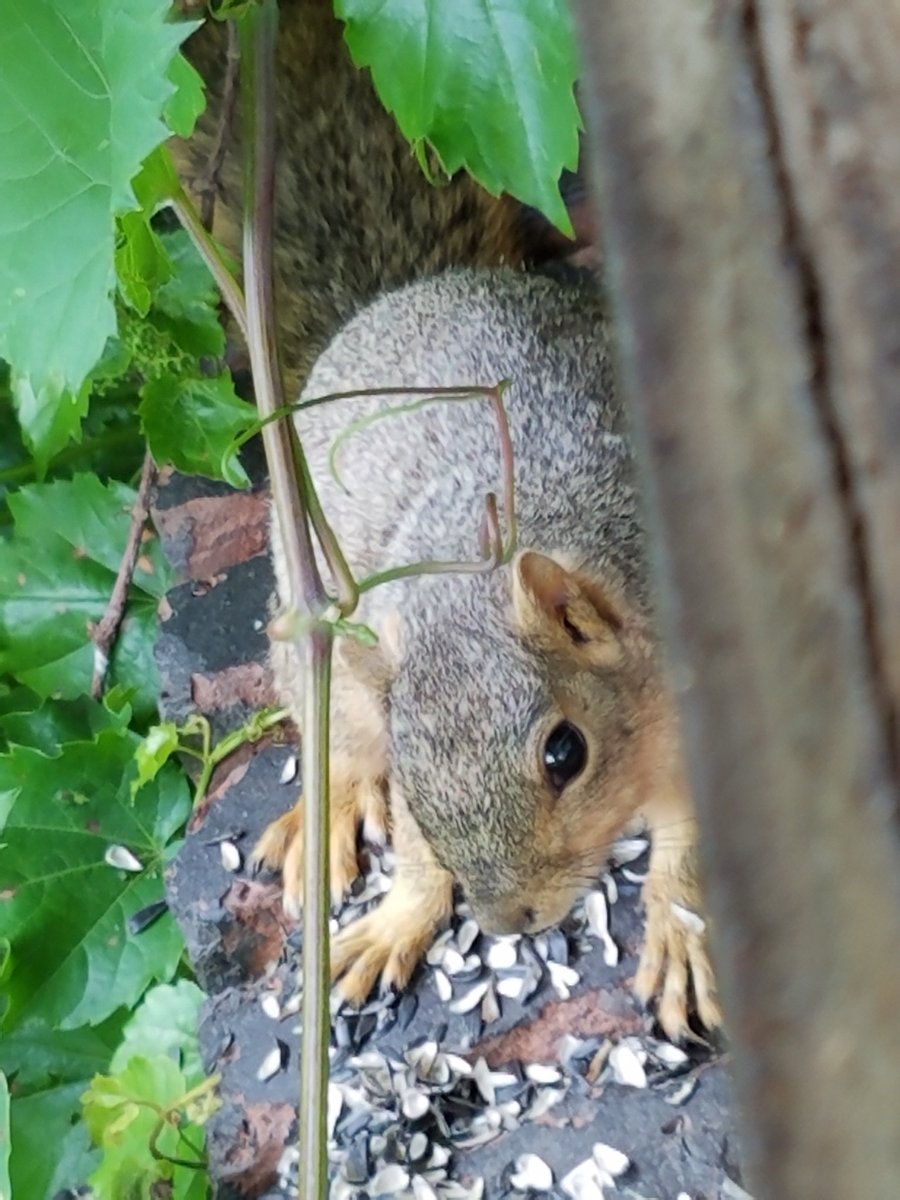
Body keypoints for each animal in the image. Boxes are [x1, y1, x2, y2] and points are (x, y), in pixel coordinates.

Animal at [177, 0, 722, 1040]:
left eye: (565, 752)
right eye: (420, 767)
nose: (513, 922)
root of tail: (403, 295)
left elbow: (697, 853)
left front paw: (681, 937)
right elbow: (421, 857)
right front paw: (399, 919)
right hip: (311, 632)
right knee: (333, 734)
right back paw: (327, 813)